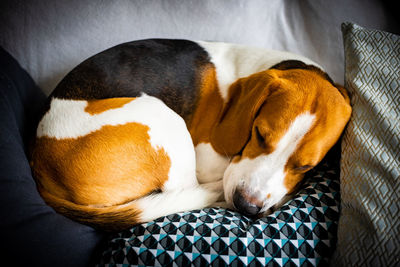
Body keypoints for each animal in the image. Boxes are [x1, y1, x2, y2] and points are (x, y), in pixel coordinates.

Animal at [30, 38, 350, 231]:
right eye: (259, 134)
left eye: (306, 167)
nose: (246, 206)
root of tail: (39, 164)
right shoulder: (207, 158)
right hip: (163, 118)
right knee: (187, 188)